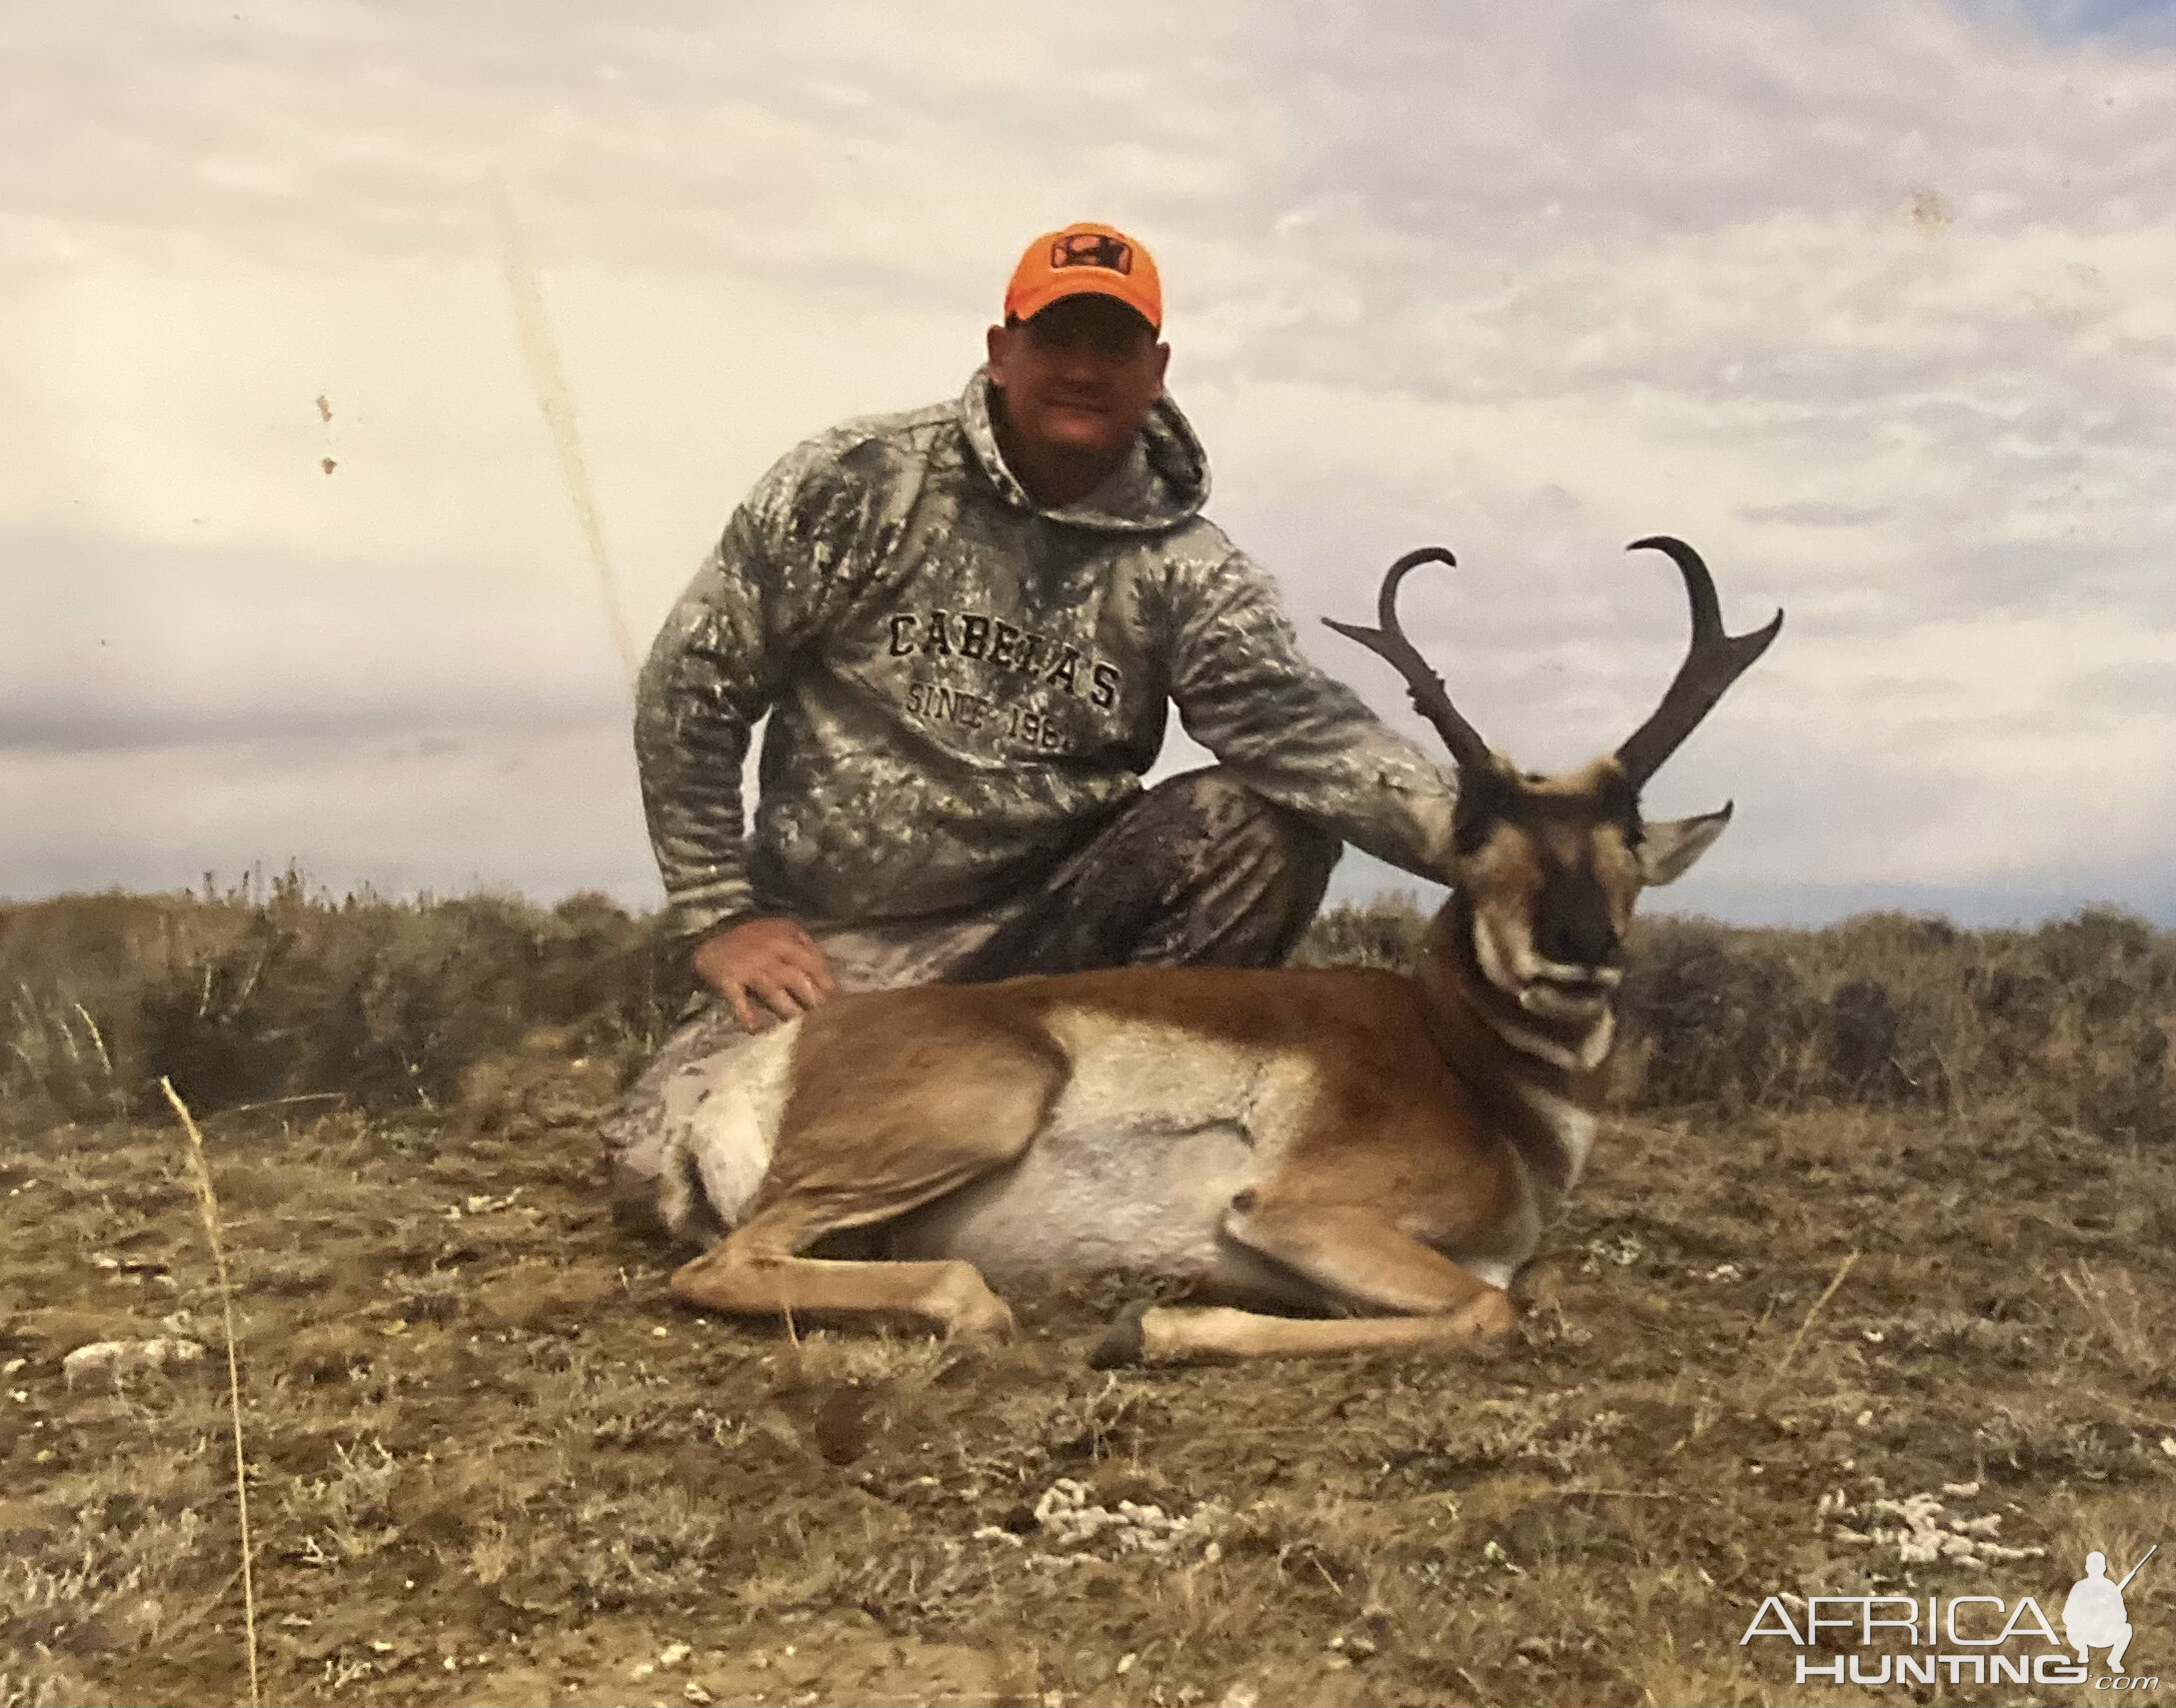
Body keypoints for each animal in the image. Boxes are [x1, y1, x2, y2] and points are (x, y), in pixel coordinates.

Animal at [666, 539, 1784, 1366]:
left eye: (1625, 842)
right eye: (1477, 846)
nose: (1578, 948)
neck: (1460, 1059)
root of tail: (752, 1068)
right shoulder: (1297, 1216)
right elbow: (1486, 1308)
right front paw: (1151, 1328)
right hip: (985, 1104)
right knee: (725, 1266)